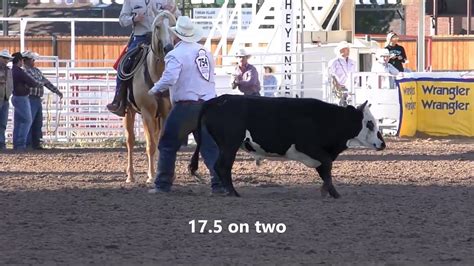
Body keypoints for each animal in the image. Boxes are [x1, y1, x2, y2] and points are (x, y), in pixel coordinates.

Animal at [123, 11, 175, 184]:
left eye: (173, 25)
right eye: (157, 26)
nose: (168, 48)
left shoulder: (165, 113)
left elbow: (161, 143)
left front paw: (163, 174)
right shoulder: (147, 113)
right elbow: (151, 145)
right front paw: (151, 176)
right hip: (129, 112)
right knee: (130, 141)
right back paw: (130, 175)